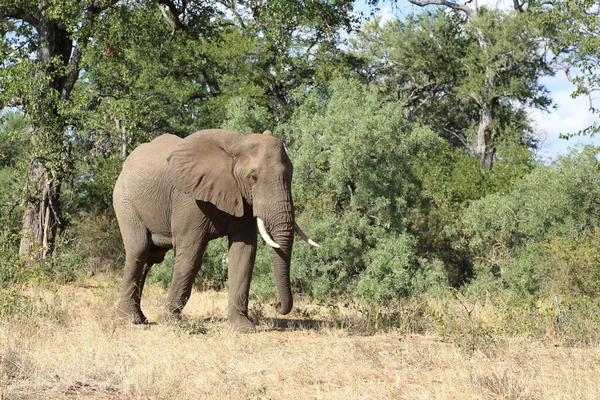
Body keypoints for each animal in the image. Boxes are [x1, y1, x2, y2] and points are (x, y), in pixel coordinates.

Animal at [112, 128, 318, 332]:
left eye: (290, 175)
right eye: (253, 177)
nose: (276, 305)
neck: (237, 145)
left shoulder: (242, 199)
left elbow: (244, 253)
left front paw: (242, 328)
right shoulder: (189, 197)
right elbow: (190, 254)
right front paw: (169, 323)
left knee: (150, 258)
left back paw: (141, 319)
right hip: (124, 200)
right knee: (139, 250)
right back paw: (130, 321)